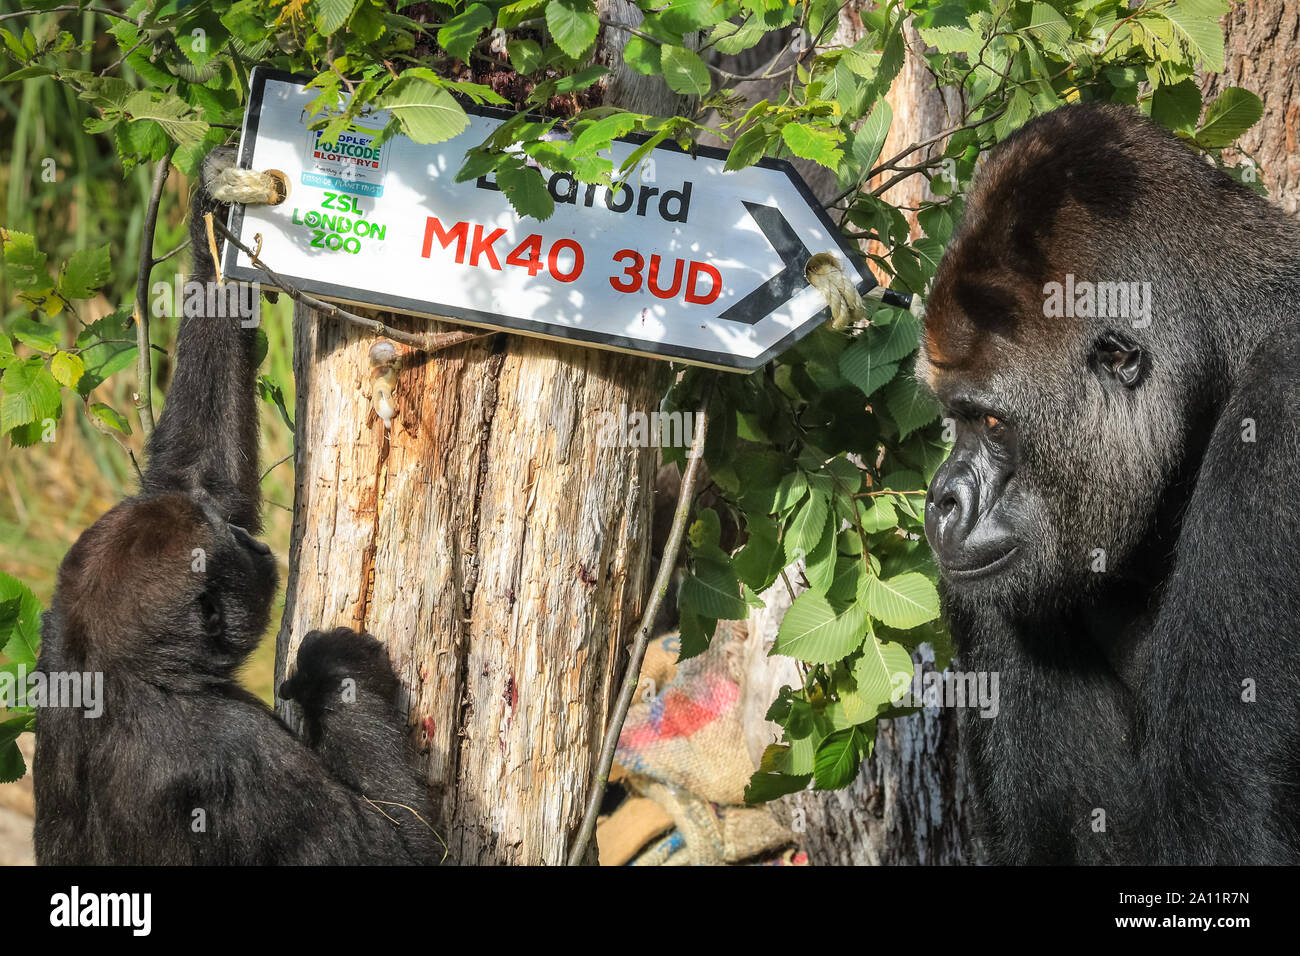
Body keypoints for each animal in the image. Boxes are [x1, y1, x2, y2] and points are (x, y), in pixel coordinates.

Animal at [30, 151, 444, 868]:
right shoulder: (236, 753)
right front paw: (339, 668)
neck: (115, 666)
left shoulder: (57, 631)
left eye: (225, 528)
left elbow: (194, 469)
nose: (253, 546)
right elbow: (400, 849)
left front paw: (217, 211)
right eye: (229, 548)